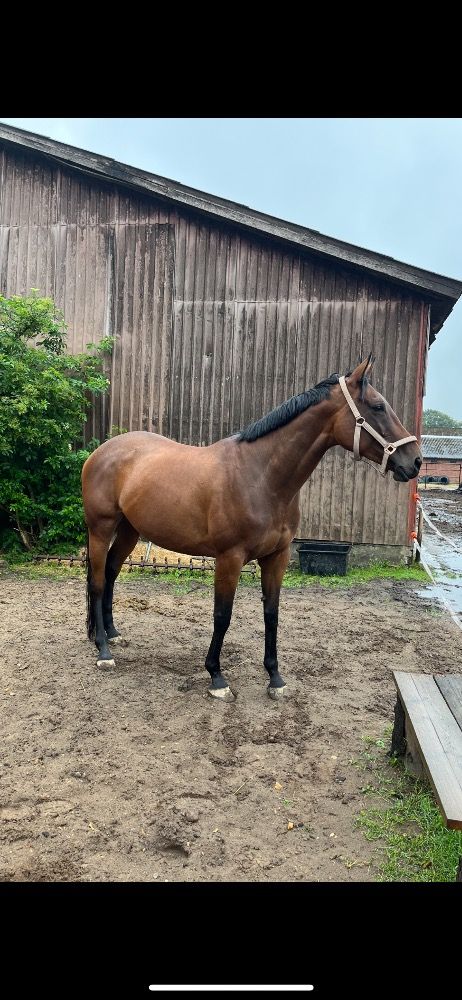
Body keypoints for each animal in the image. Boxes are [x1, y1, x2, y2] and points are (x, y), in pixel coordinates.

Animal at [82, 355, 422, 700]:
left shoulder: (277, 556)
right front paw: (217, 677)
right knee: (97, 581)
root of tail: (101, 452)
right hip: (101, 528)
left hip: (129, 530)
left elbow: (271, 614)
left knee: (111, 573)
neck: (261, 476)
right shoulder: (229, 558)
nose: (416, 461)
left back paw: (112, 633)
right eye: (378, 406)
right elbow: (222, 615)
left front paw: (275, 677)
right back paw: (103, 650)